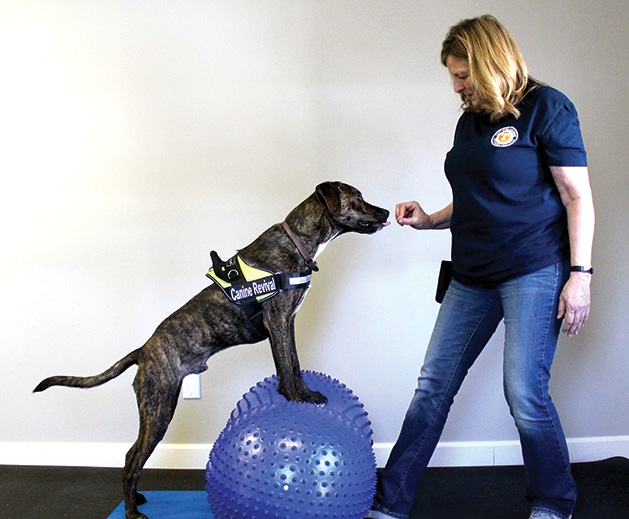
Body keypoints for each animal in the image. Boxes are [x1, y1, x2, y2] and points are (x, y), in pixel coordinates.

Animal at [34, 182, 390, 519]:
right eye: (358, 197)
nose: (387, 211)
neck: (299, 240)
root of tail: (143, 351)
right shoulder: (277, 321)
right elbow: (286, 367)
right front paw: (295, 399)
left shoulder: (288, 323)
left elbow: (294, 364)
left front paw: (304, 394)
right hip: (159, 407)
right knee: (133, 457)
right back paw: (132, 511)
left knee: (131, 456)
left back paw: (135, 498)